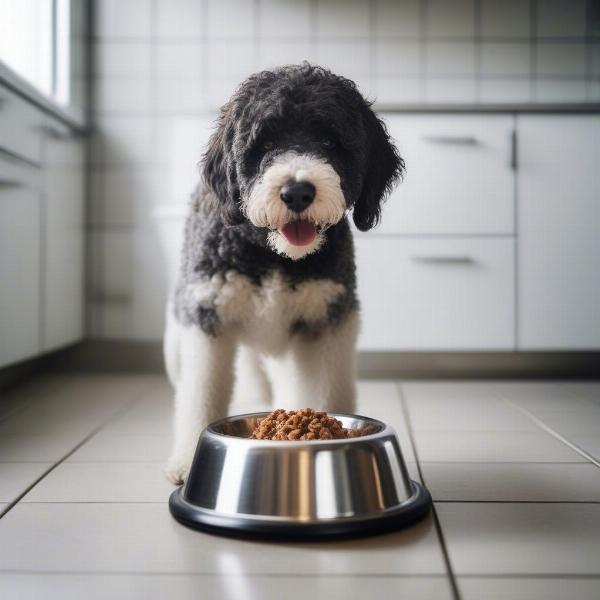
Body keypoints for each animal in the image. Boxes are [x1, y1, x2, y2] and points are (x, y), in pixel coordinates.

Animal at [163, 63, 404, 482]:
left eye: (329, 140)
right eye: (265, 143)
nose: (297, 192)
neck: (271, 255)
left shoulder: (324, 322)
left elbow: (320, 390)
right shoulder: (208, 318)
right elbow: (201, 394)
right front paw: (187, 460)